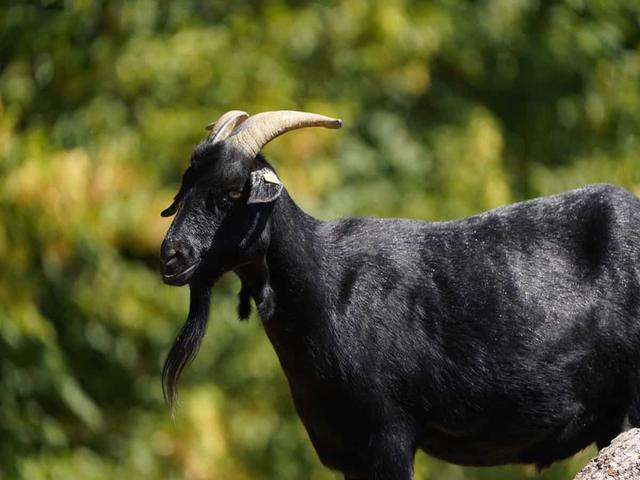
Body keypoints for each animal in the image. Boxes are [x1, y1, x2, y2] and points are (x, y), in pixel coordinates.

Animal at [159, 110, 640, 479]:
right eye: (186, 185)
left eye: (234, 191)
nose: (171, 256)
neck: (326, 285)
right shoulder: (346, 448)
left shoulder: (387, 435)